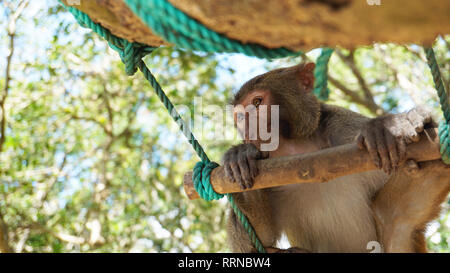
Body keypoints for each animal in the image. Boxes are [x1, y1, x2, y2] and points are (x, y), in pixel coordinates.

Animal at [225, 62, 450, 253]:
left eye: (257, 102)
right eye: (240, 116)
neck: (299, 152)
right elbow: (256, 243)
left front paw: (397, 125)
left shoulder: (345, 128)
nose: (247, 128)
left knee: (398, 219)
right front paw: (240, 156)